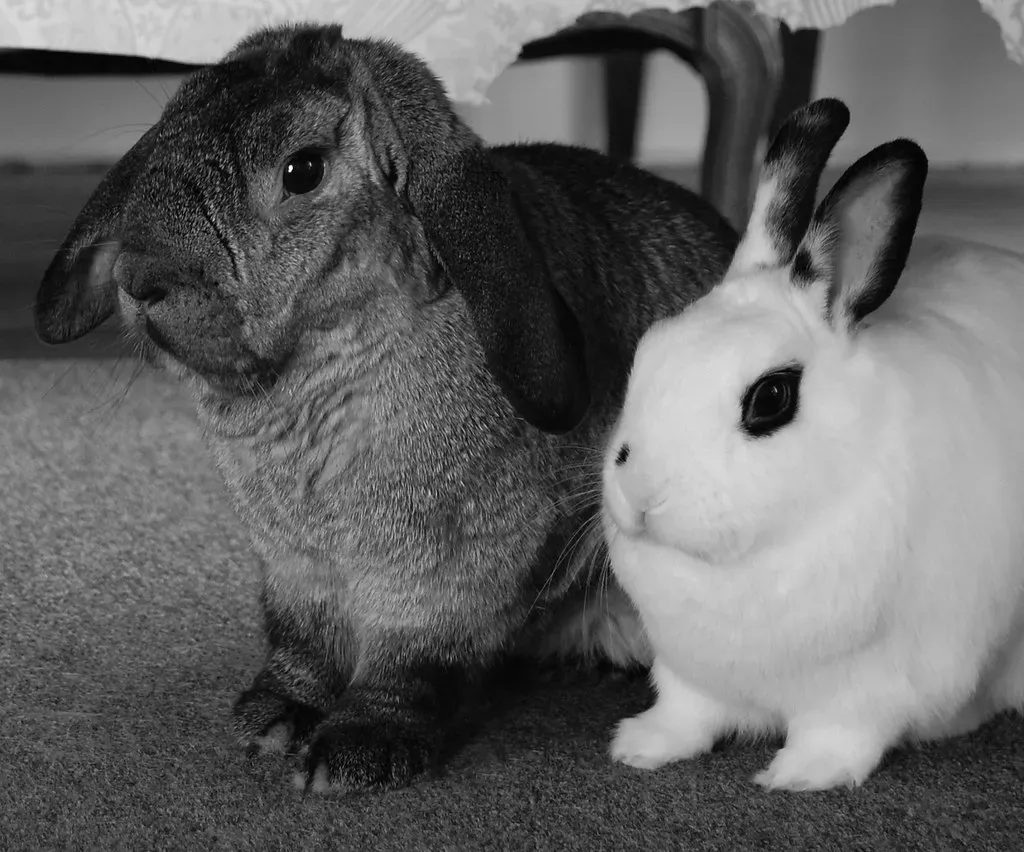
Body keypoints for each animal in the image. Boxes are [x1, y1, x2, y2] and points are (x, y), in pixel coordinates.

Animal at [33, 23, 739, 794]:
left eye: (303, 170)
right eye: (171, 124)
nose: (138, 279)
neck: (314, 381)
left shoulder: (451, 568)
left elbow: (409, 656)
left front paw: (356, 749)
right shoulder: (293, 568)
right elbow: (304, 645)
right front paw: (272, 716)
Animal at [601, 97, 1024, 792]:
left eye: (771, 398)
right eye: (647, 352)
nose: (638, 494)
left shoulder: (871, 687)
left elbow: (841, 731)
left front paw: (798, 775)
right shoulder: (689, 672)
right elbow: (686, 714)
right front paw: (639, 747)